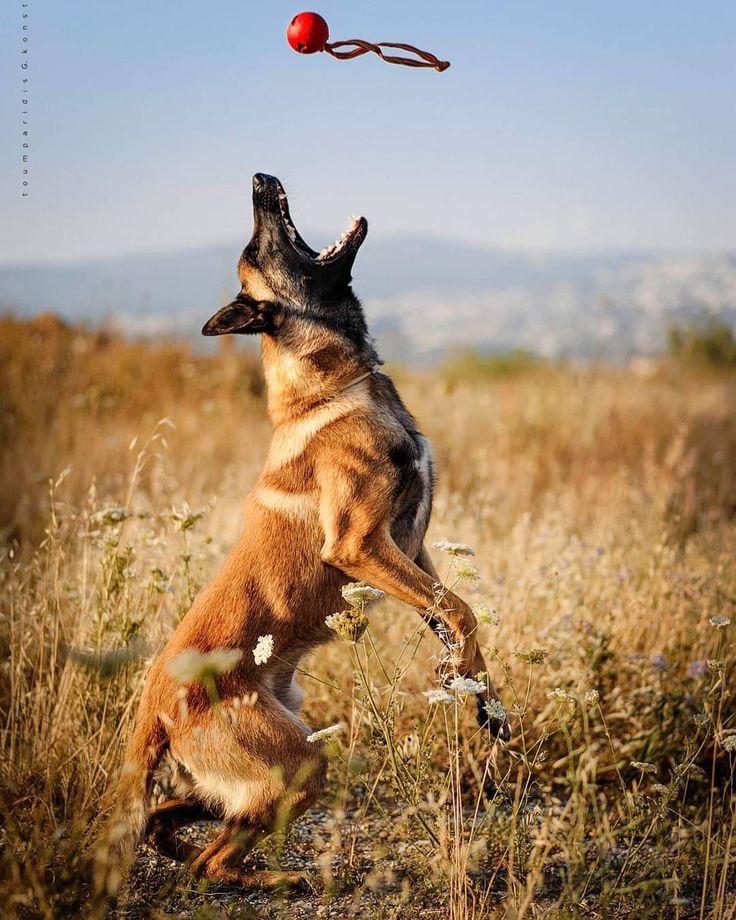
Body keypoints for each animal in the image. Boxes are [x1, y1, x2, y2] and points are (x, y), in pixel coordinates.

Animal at [93, 172, 512, 900]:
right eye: (258, 249)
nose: (261, 179)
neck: (335, 388)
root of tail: (154, 704)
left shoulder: (412, 550)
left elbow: (453, 615)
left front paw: (480, 696)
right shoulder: (362, 546)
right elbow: (459, 610)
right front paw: (468, 681)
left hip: (276, 763)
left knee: (170, 822)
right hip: (298, 765)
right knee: (211, 859)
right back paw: (280, 880)